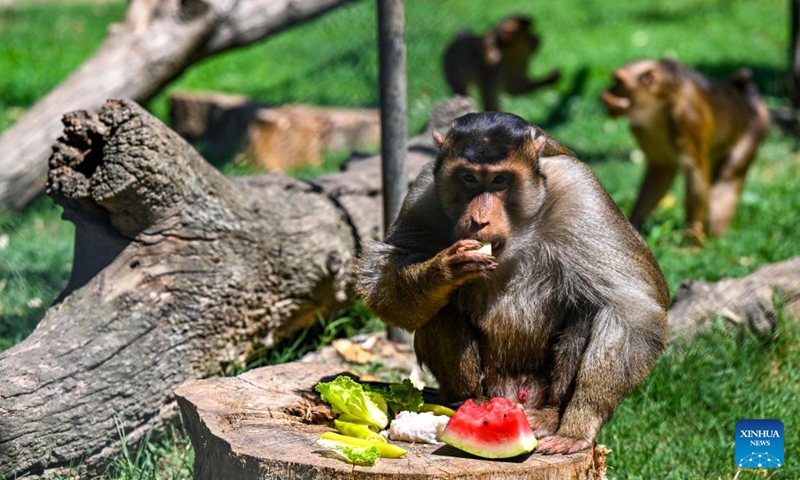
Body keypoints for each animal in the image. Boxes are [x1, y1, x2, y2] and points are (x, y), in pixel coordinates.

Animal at [356, 111, 668, 454]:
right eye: (468, 178)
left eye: (499, 180)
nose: (478, 219)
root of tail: (513, 395)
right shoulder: (424, 191)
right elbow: (383, 279)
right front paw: (442, 271)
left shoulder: (581, 192)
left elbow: (633, 308)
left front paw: (581, 421)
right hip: (490, 381)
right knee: (439, 308)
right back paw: (470, 401)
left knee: (591, 308)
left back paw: (552, 413)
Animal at [604, 58, 772, 246]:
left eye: (618, 82)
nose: (607, 93)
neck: (662, 103)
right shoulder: (642, 127)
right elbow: (661, 169)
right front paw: (632, 225)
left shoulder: (688, 117)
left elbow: (696, 173)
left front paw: (694, 241)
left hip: (755, 130)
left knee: (727, 178)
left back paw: (714, 237)